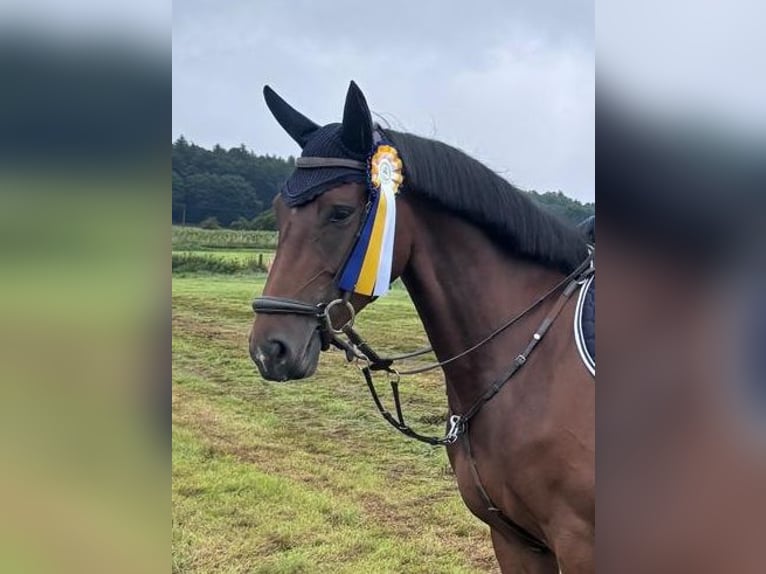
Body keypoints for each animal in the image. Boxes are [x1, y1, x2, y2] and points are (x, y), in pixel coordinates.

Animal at [249, 81, 595, 573]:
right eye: (279, 212)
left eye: (339, 212)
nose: (270, 349)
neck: (535, 361)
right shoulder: (517, 542)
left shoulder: (581, 545)